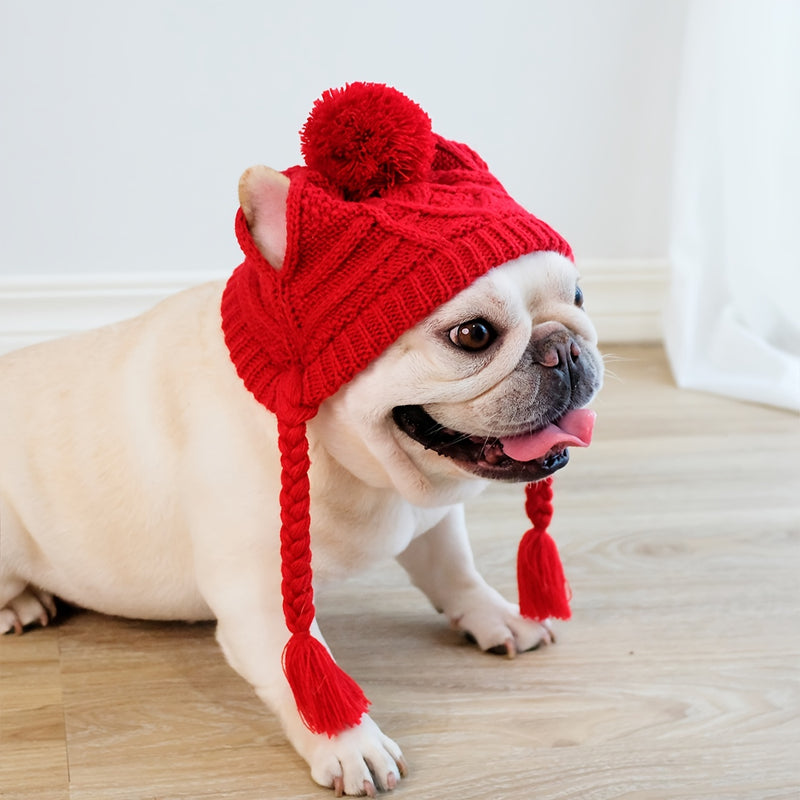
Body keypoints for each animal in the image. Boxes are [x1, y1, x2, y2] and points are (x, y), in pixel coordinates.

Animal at [0, 108, 600, 800]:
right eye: (472, 335)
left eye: (579, 299)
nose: (566, 349)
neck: (361, 464)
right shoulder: (261, 596)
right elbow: (304, 676)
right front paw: (351, 745)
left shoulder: (434, 519)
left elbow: (455, 570)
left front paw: (495, 614)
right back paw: (19, 601)